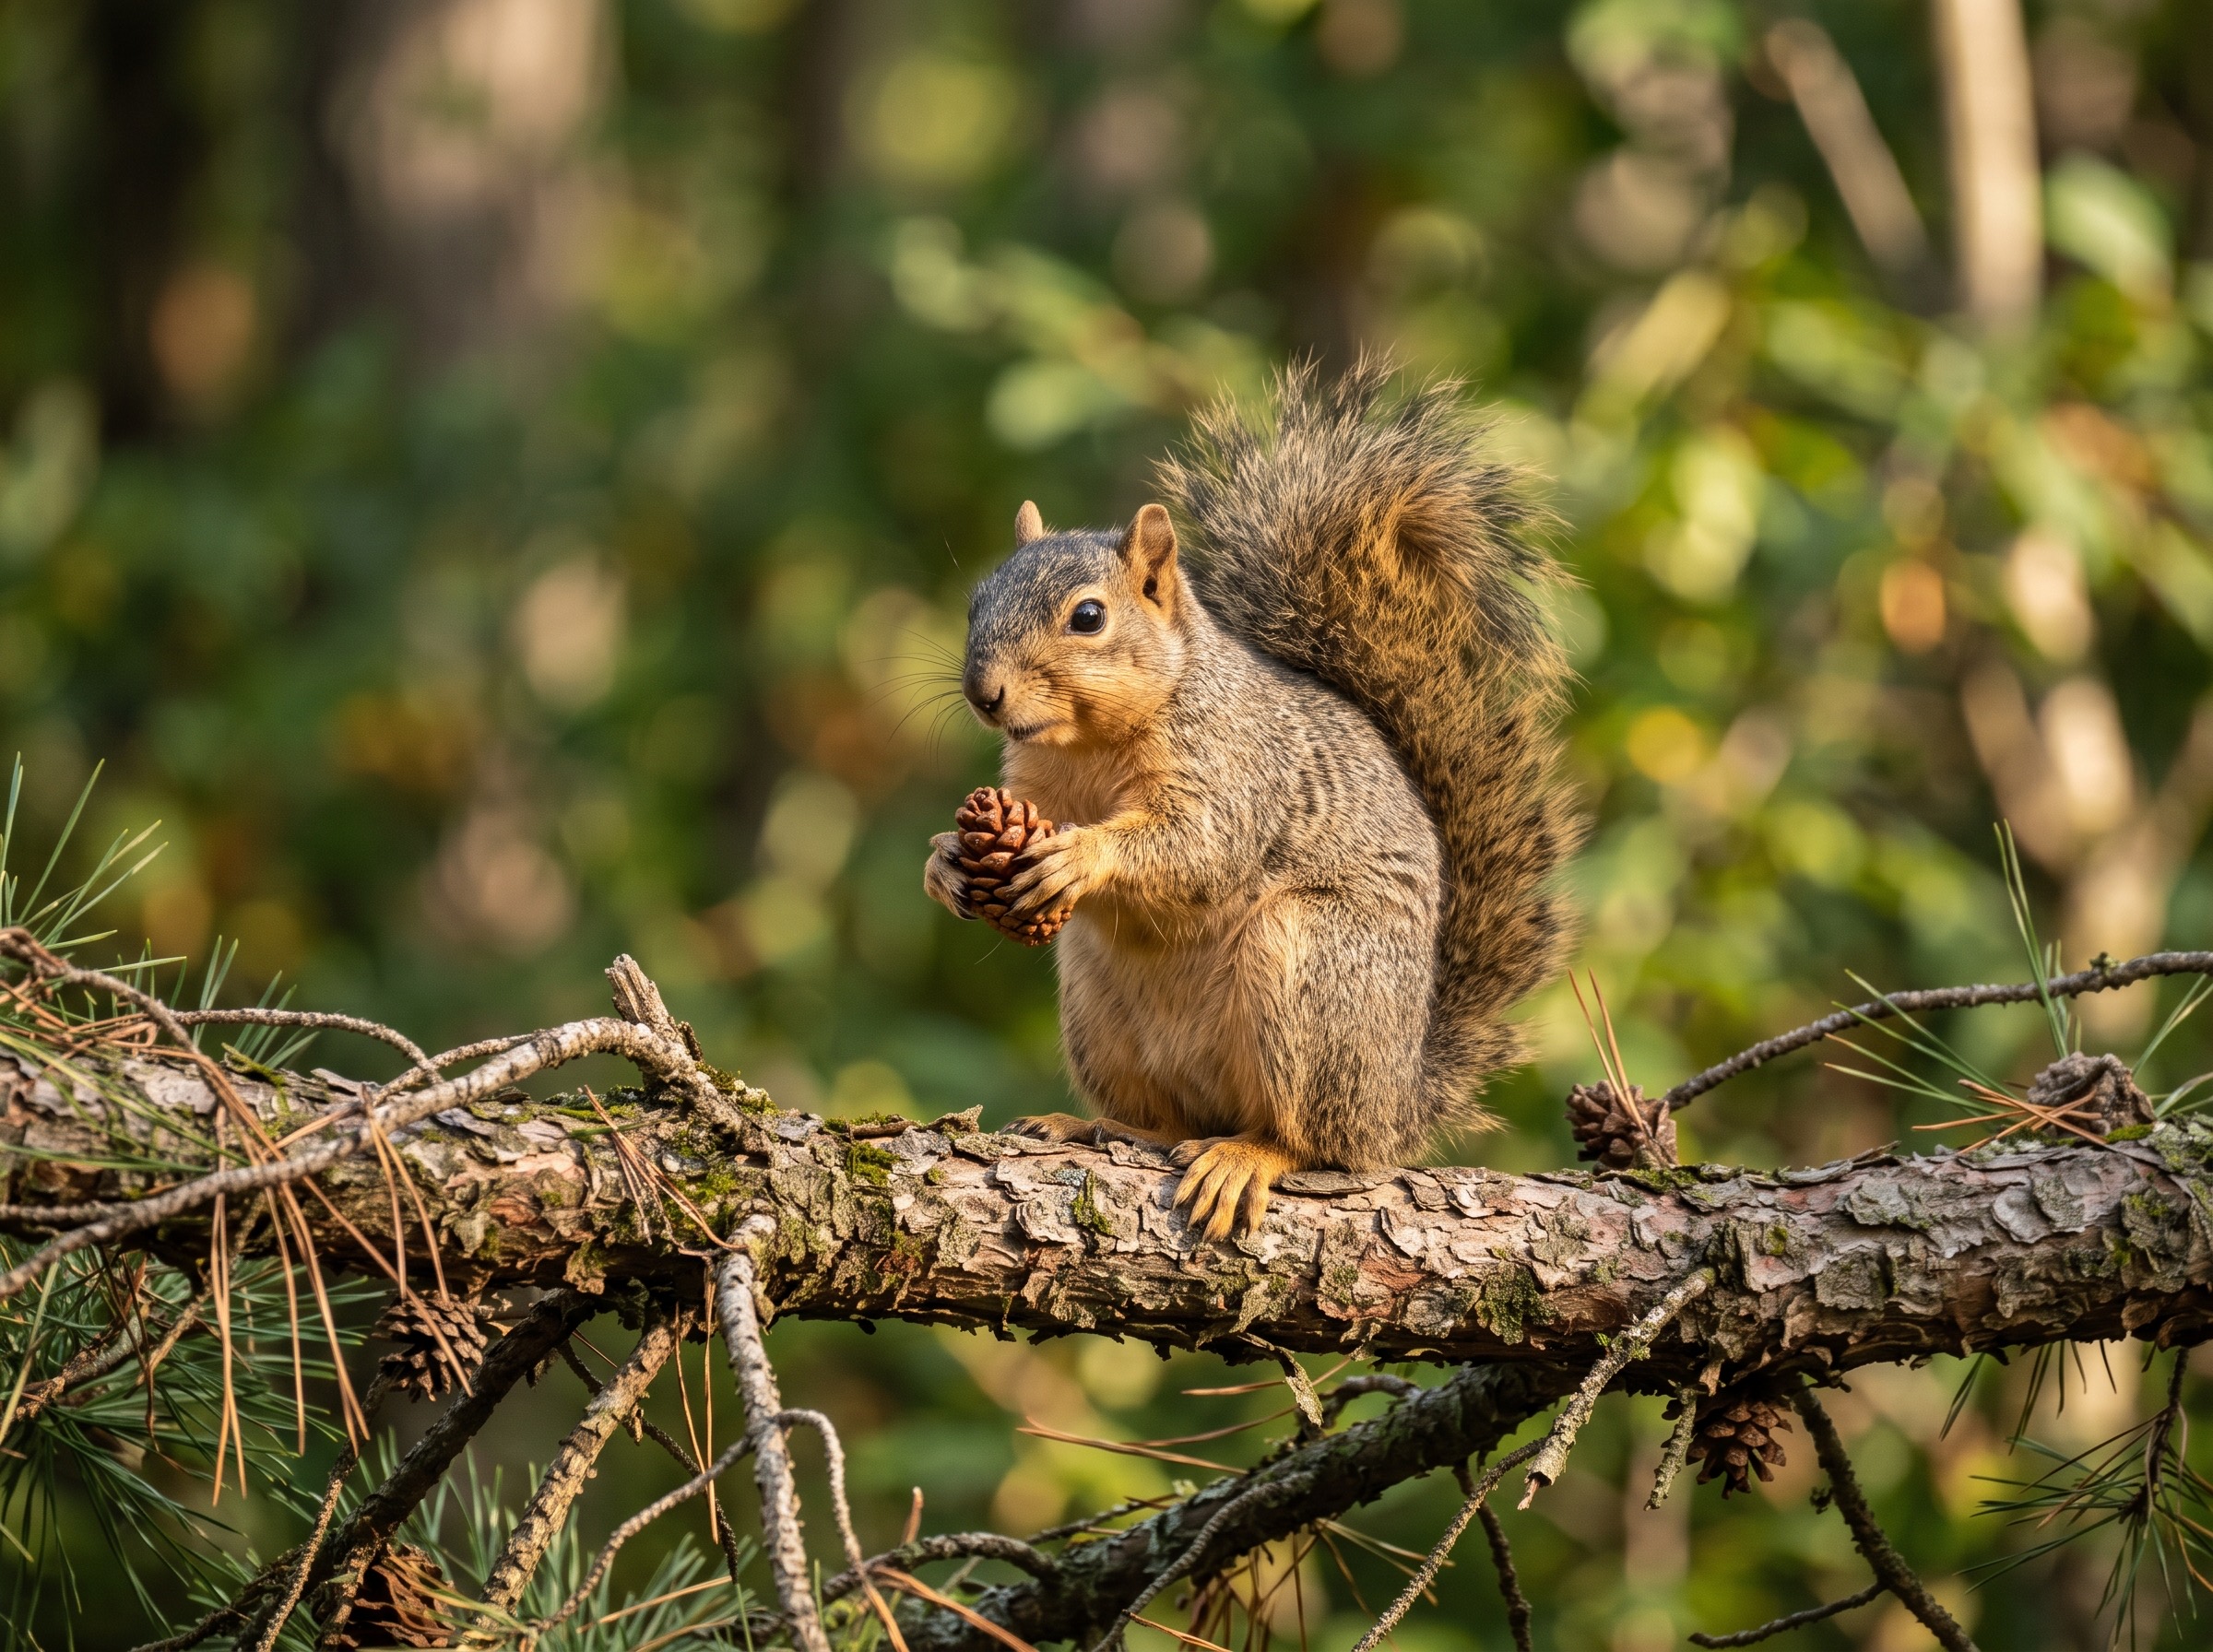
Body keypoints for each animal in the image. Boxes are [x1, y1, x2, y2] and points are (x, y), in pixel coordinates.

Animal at [923, 360, 1580, 1238]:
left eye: (1088, 617)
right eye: (975, 601)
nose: (983, 694)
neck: (1089, 745)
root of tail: (1398, 1103)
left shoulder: (1237, 774)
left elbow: (1198, 849)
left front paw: (1078, 852)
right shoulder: (1025, 784)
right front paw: (947, 861)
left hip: (1309, 963)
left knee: (1315, 1142)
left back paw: (1250, 1157)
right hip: (1096, 1003)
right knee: (1167, 1120)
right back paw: (1090, 1125)